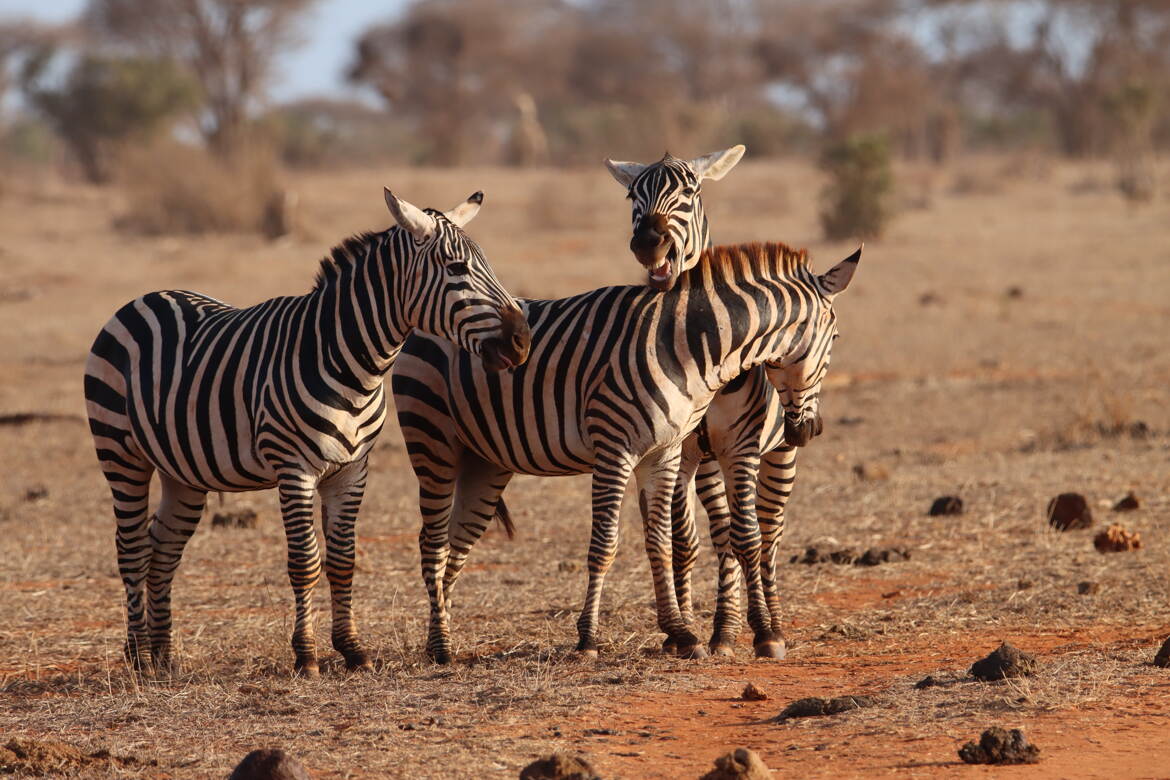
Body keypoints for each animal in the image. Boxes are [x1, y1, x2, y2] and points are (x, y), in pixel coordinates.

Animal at [84, 189, 533, 678]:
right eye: (456, 268)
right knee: (131, 548)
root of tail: (146, 296)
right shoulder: (294, 468)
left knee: (162, 549)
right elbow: (305, 562)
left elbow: (343, 561)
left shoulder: (352, 471)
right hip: (121, 454)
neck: (352, 366)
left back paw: (163, 658)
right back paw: (138, 656)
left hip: (182, 471)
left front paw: (352, 649)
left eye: (486, 264)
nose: (522, 341)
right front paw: (307, 655)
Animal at [393, 239, 861, 664]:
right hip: (432, 438)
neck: (690, 348)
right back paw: (439, 646)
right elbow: (606, 544)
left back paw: (444, 635)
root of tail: (424, 318)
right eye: (837, 336)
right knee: (432, 540)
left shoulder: (666, 453)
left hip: (484, 460)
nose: (809, 429)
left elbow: (667, 541)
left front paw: (687, 634)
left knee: (458, 540)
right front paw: (588, 639)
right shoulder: (615, 449)